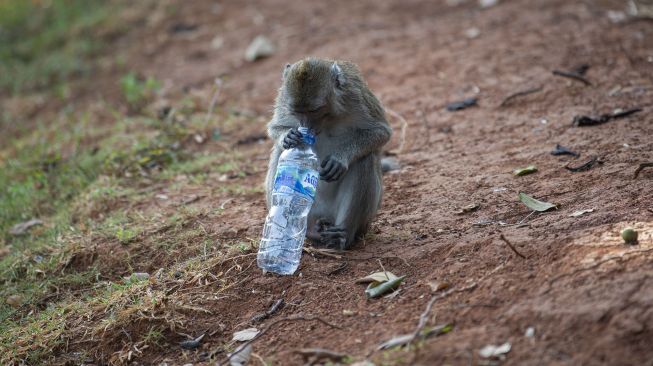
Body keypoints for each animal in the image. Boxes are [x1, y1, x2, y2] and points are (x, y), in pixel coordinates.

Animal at [264, 57, 390, 250]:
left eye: (314, 110)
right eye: (297, 111)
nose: (306, 126)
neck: (330, 117)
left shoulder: (356, 96)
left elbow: (380, 132)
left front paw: (339, 159)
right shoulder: (283, 98)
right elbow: (275, 128)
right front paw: (289, 136)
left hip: (361, 220)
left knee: (364, 159)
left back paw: (343, 235)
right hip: (312, 212)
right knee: (280, 151)